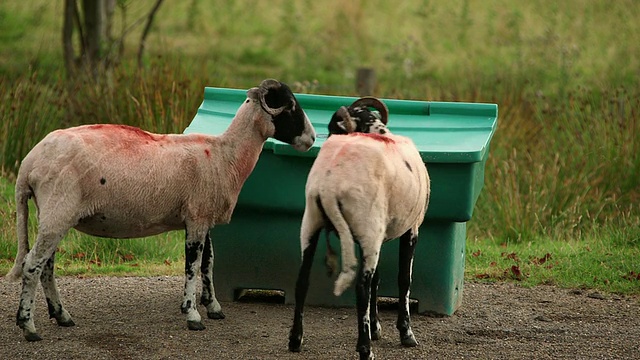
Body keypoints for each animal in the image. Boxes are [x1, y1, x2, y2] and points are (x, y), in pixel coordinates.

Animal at [5, 77, 316, 342]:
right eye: (290, 106)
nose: (312, 138)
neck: (225, 156)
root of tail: (28, 164)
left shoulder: (203, 218)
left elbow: (209, 262)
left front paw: (213, 307)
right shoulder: (197, 218)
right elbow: (192, 266)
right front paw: (192, 315)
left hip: (52, 214)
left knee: (46, 266)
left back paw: (62, 315)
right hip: (58, 211)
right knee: (32, 265)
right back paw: (29, 326)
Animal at [288, 97, 430, 358]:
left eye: (335, 127)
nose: (325, 140)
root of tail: (330, 184)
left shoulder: (379, 236)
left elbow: (378, 280)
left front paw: (376, 327)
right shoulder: (410, 229)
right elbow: (403, 279)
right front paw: (406, 333)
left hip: (311, 221)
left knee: (302, 280)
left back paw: (295, 340)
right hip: (368, 226)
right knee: (361, 288)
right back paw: (366, 349)